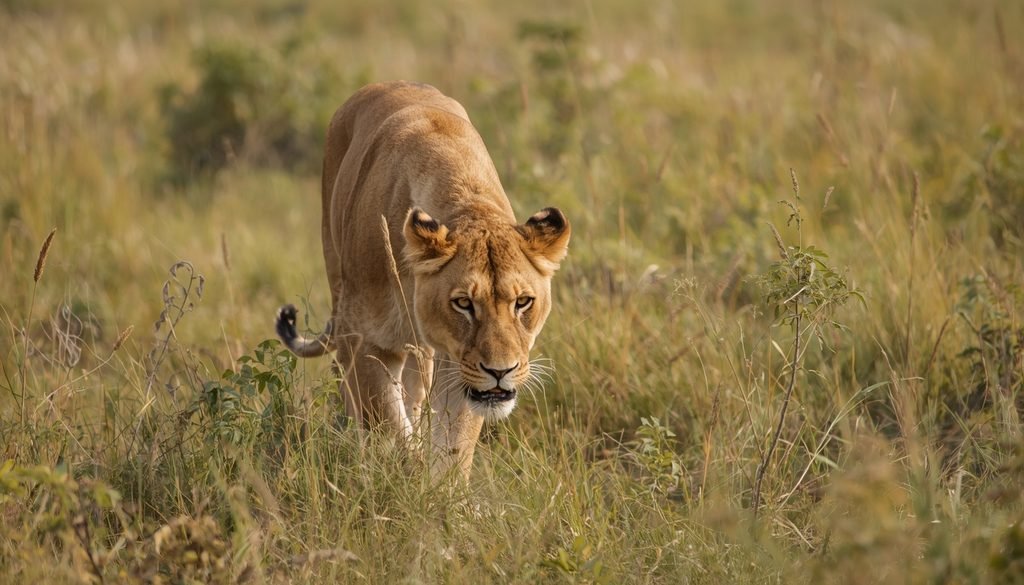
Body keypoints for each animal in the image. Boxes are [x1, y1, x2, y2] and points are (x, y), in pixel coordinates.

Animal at [275, 81, 570, 479]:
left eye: (523, 302)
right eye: (463, 303)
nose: (500, 371)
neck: (467, 200)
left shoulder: (457, 365)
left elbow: (454, 444)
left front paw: (443, 490)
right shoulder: (365, 339)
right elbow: (387, 424)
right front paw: (409, 474)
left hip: (421, 354)